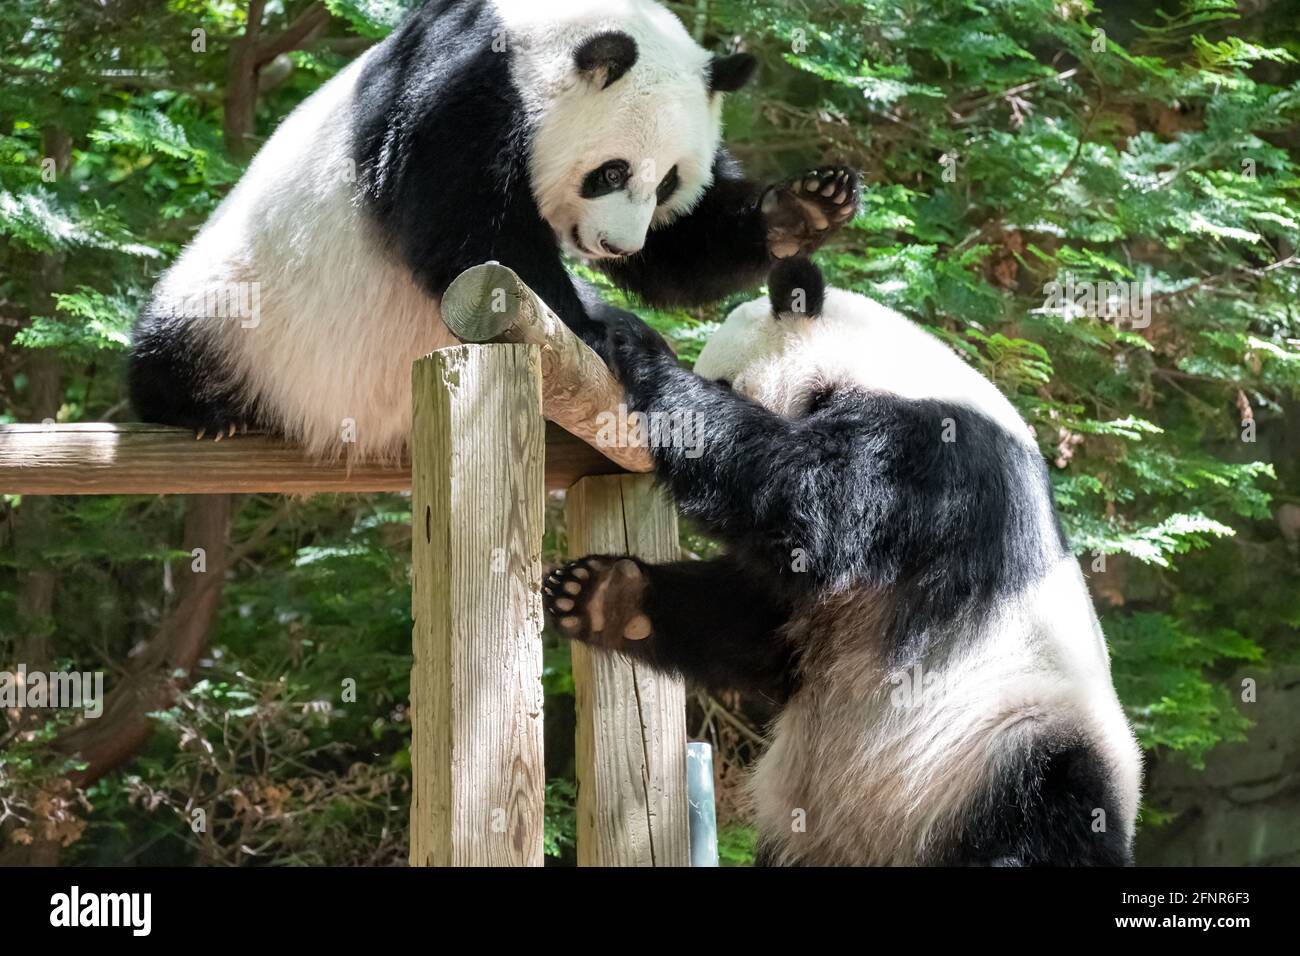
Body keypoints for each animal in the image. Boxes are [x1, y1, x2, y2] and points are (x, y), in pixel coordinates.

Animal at [128, 0, 858, 457]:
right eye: (610, 172)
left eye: (668, 182)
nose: (615, 244)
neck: (535, 32)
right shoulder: (465, 89)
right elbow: (467, 233)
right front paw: (595, 331)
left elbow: (680, 249)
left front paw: (803, 208)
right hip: (242, 306)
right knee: (181, 340)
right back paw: (206, 411)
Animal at [543, 257, 1143, 866]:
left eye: (722, 382)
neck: (882, 363)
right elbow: (760, 621)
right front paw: (605, 596)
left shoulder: (937, 459)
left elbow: (812, 496)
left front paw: (634, 344)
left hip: (1010, 748)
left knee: (1044, 814)